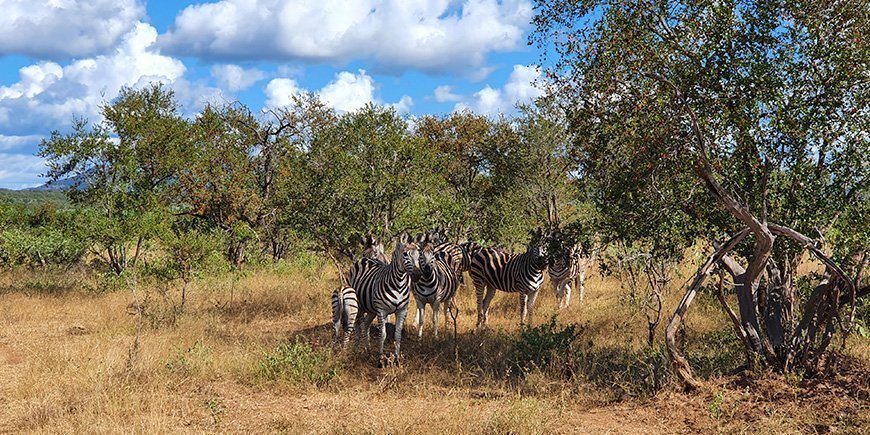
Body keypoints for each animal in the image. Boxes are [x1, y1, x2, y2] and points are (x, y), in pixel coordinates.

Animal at [350, 232, 420, 365]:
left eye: (419, 255)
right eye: (405, 254)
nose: (418, 275)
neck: (398, 284)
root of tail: (366, 260)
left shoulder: (402, 310)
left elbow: (398, 334)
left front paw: (397, 359)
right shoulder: (382, 311)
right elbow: (382, 334)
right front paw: (381, 359)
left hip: (371, 309)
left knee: (365, 325)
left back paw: (368, 349)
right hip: (359, 305)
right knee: (357, 325)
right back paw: (356, 348)